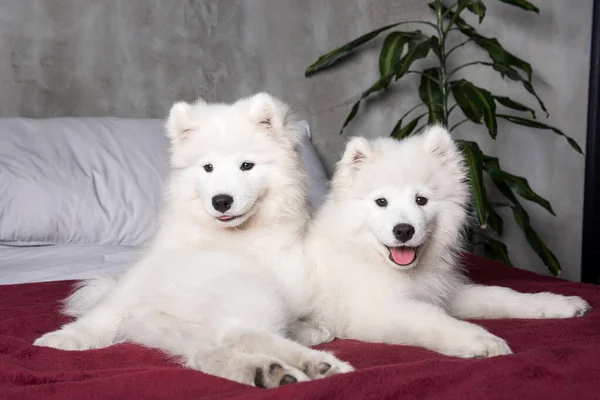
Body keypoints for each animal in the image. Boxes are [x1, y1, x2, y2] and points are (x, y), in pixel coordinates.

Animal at [35, 93, 352, 388]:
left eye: (246, 165)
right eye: (208, 167)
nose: (221, 201)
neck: (225, 237)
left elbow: (320, 325)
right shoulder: (144, 273)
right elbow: (106, 309)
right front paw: (64, 337)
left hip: (252, 294)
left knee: (240, 333)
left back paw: (315, 365)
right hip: (182, 325)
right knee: (215, 348)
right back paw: (271, 371)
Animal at [304, 126, 592, 358]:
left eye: (421, 200)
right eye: (381, 202)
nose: (404, 230)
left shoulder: (445, 292)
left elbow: (501, 295)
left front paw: (560, 304)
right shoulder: (376, 310)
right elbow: (433, 320)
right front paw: (481, 340)